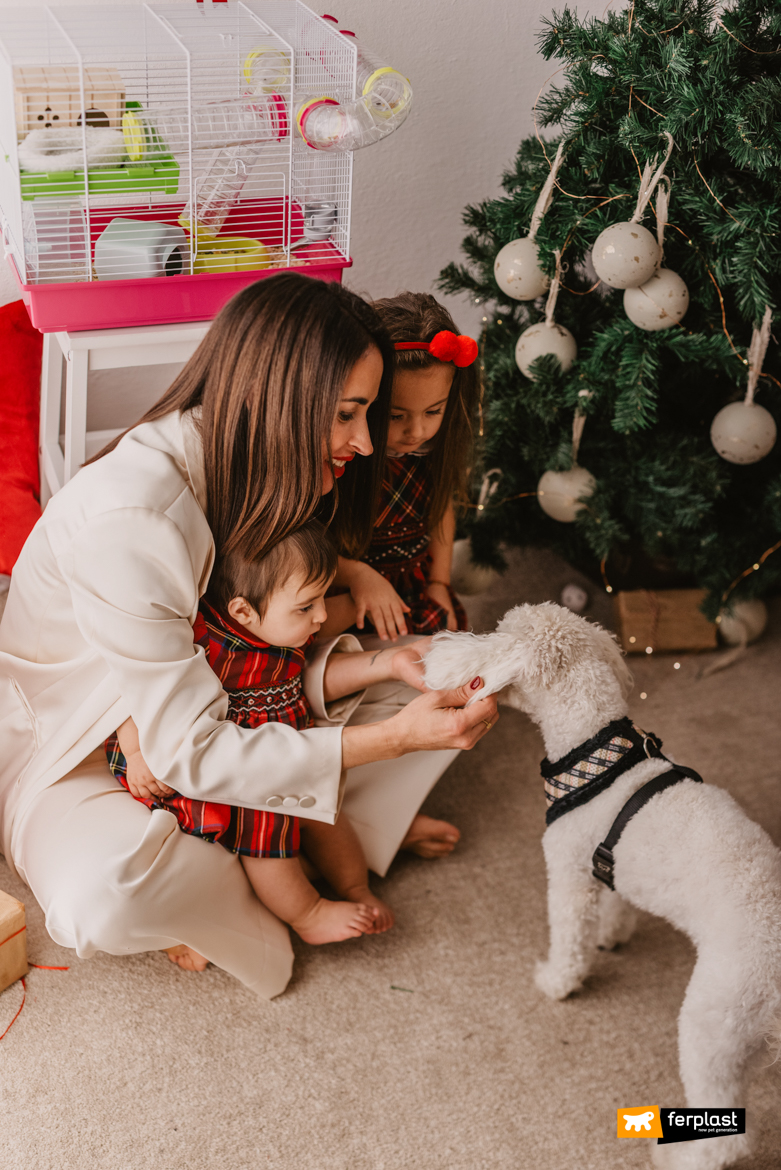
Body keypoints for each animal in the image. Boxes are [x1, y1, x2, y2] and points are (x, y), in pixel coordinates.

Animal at [423, 603, 781, 1170]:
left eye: (499, 634)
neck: (598, 757)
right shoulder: (605, 864)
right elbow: (616, 902)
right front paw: (615, 935)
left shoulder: (567, 874)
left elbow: (570, 942)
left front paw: (557, 982)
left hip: (712, 1025)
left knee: (728, 1136)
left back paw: (679, 1157)